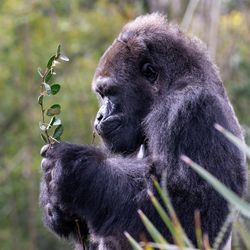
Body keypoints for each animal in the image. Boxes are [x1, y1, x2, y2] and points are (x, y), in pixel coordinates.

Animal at [40, 14, 247, 250]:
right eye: (101, 95)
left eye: (110, 92)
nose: (99, 116)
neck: (173, 83)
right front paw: (54, 207)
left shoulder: (192, 110)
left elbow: (190, 215)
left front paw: (78, 171)